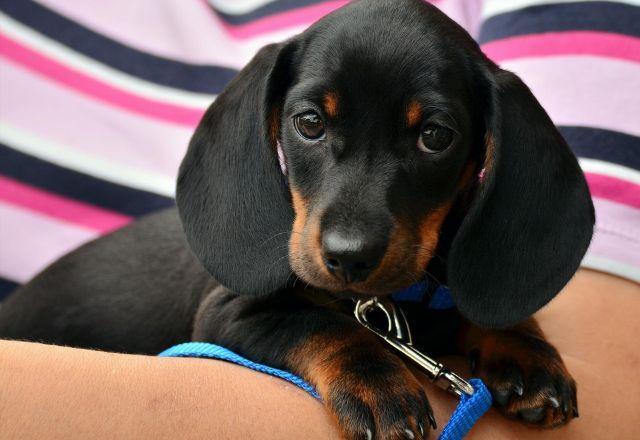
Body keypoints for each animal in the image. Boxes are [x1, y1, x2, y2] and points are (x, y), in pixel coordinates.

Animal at [0, 1, 592, 438]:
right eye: (309, 123)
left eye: (435, 136)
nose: (348, 258)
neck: (389, 306)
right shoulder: (228, 315)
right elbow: (322, 325)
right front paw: (379, 384)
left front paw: (524, 348)